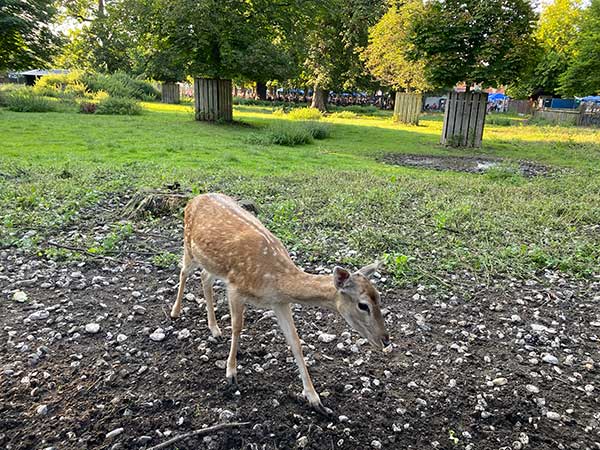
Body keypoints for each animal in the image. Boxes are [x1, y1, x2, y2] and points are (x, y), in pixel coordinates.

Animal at [171, 193, 392, 414]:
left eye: (379, 298)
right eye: (363, 305)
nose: (386, 340)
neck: (275, 280)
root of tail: (193, 199)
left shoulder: (280, 302)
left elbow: (295, 341)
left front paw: (315, 399)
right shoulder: (235, 287)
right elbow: (237, 328)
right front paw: (231, 374)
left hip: (210, 263)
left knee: (204, 277)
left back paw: (214, 329)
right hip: (189, 245)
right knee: (184, 271)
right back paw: (175, 312)